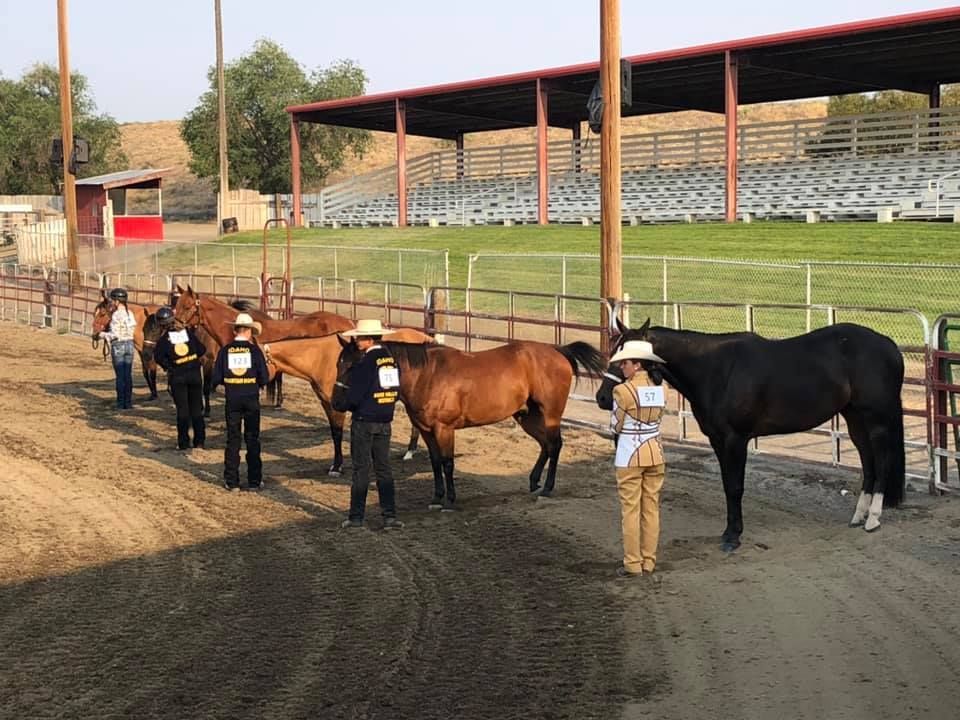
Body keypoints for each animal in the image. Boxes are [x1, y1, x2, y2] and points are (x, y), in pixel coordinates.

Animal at [261, 328, 433, 475]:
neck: (319, 359)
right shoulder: (327, 403)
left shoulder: (337, 407)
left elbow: (337, 434)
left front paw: (336, 467)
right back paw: (410, 451)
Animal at [331, 339, 607, 510]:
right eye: (338, 363)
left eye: (354, 366)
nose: (336, 402)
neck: (427, 375)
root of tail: (558, 351)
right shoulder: (426, 430)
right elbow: (435, 463)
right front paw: (437, 497)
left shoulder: (444, 429)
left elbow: (448, 462)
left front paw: (450, 499)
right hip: (526, 416)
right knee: (546, 446)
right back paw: (534, 481)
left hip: (549, 415)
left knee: (555, 445)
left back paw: (547, 488)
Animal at [595, 315, 906, 552]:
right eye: (614, 351)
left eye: (630, 357)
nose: (602, 397)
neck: (716, 369)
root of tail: (888, 345)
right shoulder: (717, 440)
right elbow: (726, 485)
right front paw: (728, 531)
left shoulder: (736, 439)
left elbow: (735, 486)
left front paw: (733, 537)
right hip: (854, 418)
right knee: (868, 462)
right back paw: (858, 515)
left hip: (876, 421)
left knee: (881, 462)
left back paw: (873, 519)